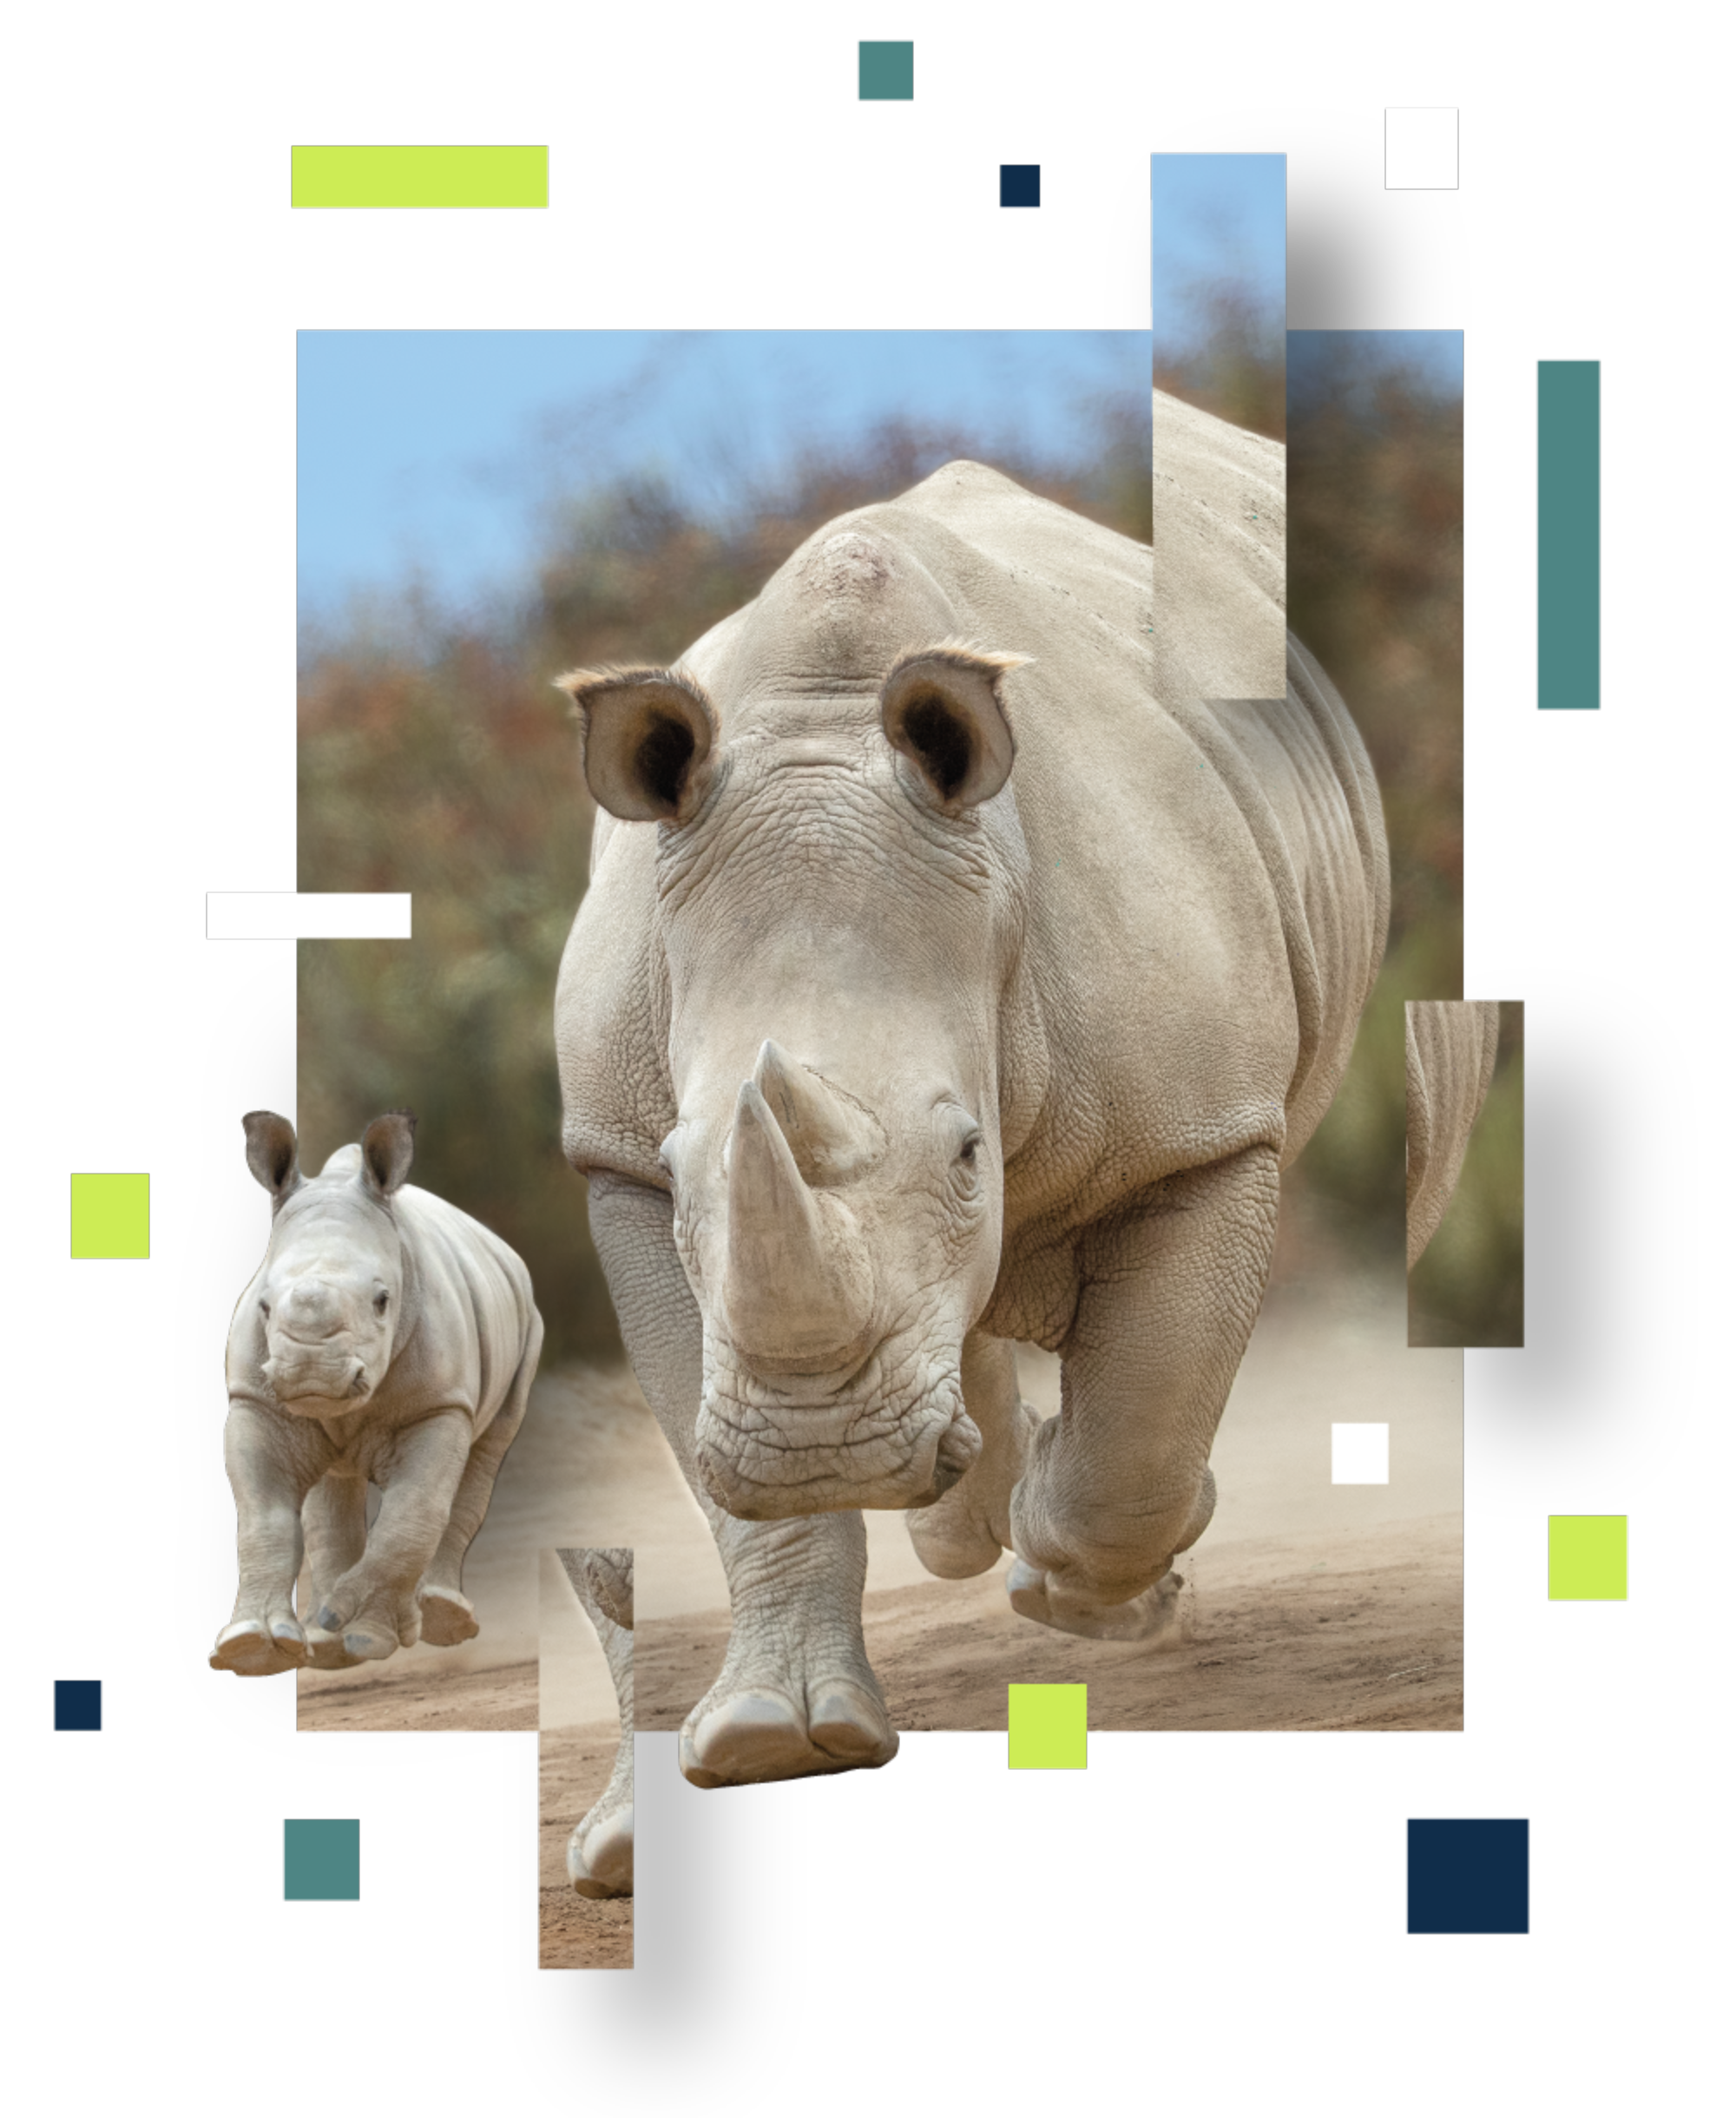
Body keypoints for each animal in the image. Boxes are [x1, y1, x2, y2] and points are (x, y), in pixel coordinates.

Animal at [212, 1110, 543, 1677]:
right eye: (264, 1306)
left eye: (383, 1300)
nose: (312, 1372)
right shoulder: (257, 1399)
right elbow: (263, 1514)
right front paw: (252, 1647)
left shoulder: (439, 1403)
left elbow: (413, 1512)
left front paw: (367, 1635)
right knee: (333, 1484)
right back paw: (325, 1645)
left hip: (527, 1323)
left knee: (486, 1452)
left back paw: (433, 1622)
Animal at [554, 456, 1388, 1786]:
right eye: (687, 1173)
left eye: (967, 1153)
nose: (821, 1451)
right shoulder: (619, 1156)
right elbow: (733, 1488)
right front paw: (769, 1737)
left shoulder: (1207, 1130)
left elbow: (1137, 1442)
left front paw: (1072, 1577)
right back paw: (963, 1516)